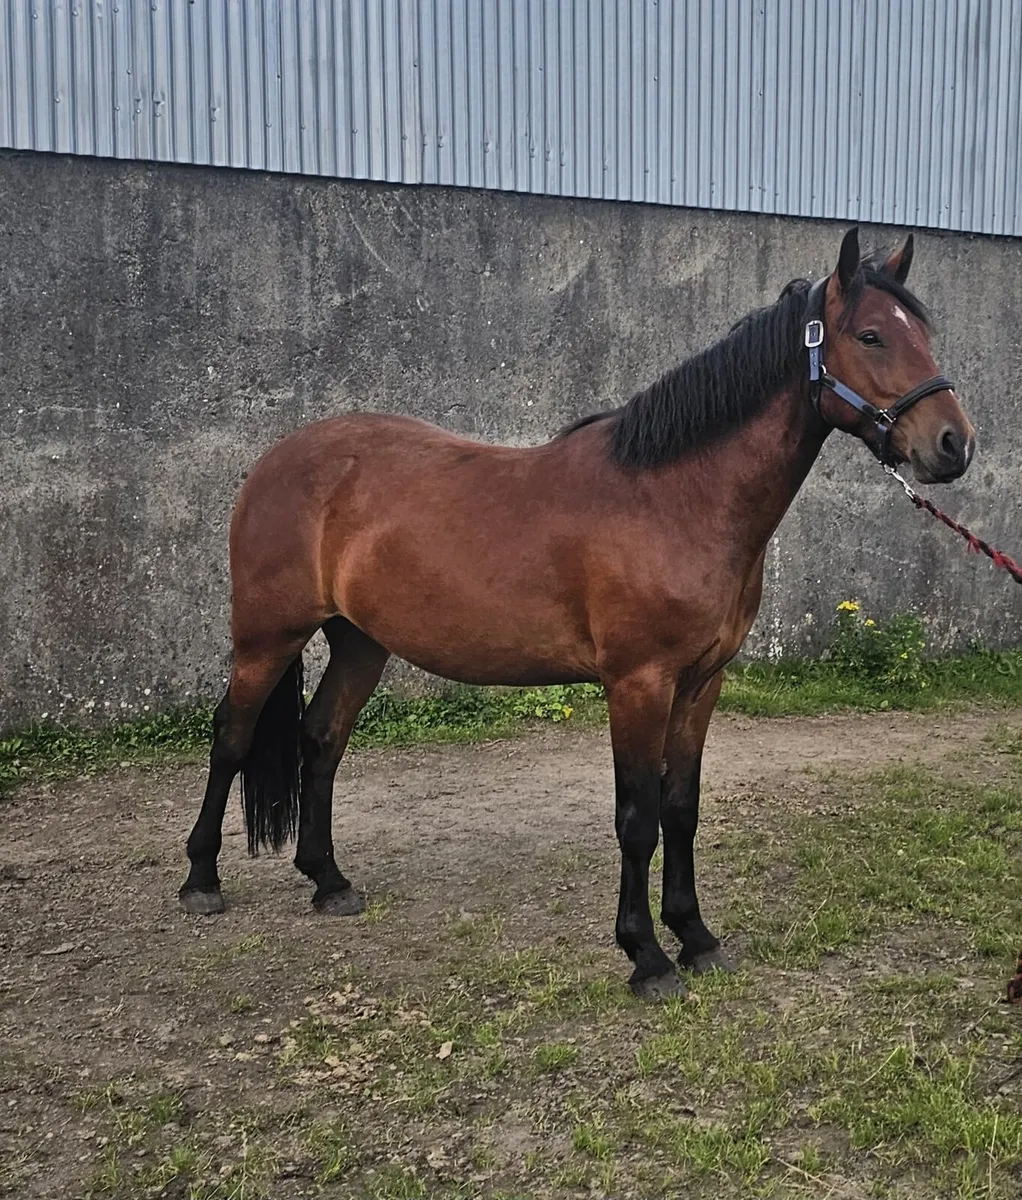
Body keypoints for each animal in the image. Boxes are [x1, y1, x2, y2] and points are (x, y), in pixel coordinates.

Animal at [179, 227, 974, 999]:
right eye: (871, 335)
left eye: (924, 333)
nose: (954, 444)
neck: (675, 499)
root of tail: (277, 459)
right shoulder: (638, 684)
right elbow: (638, 819)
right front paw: (647, 957)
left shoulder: (700, 683)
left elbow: (681, 808)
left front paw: (696, 938)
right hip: (267, 636)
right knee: (232, 738)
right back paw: (201, 881)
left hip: (359, 642)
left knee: (322, 740)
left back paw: (329, 881)